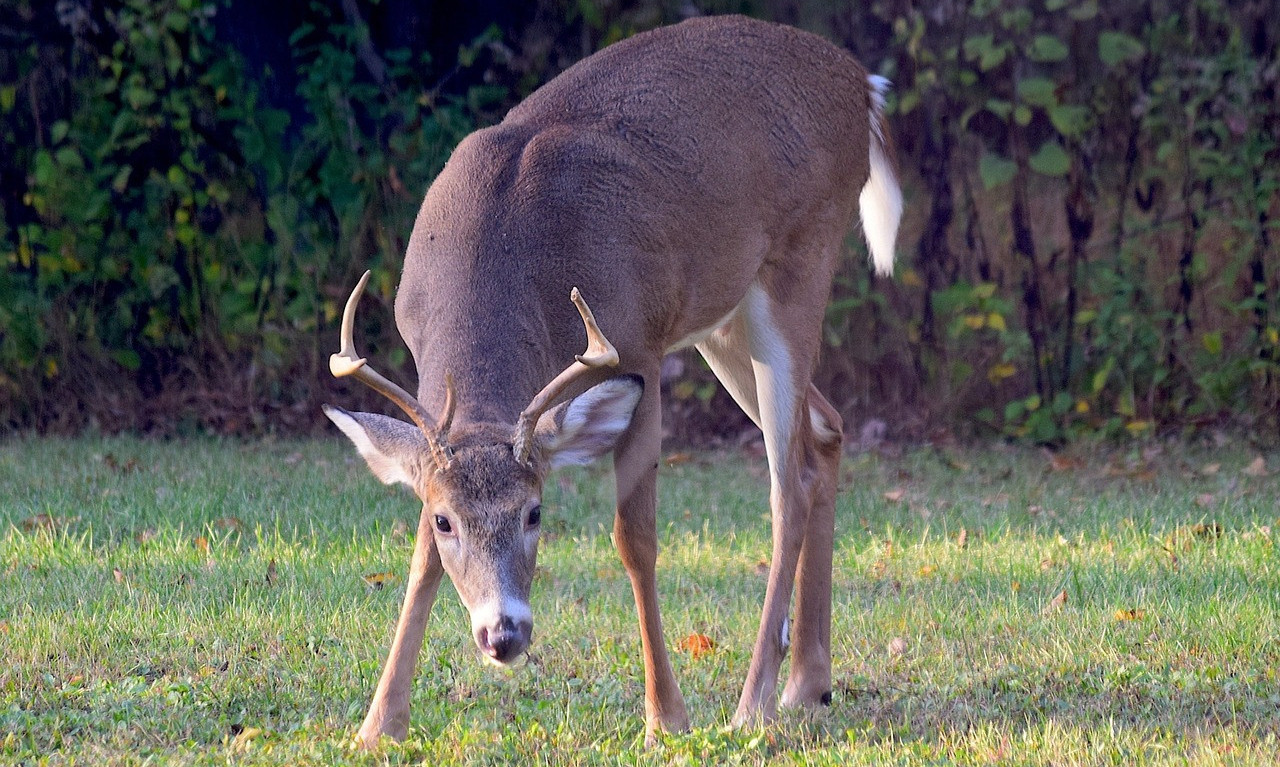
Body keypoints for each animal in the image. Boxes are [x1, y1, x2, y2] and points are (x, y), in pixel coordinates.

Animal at [320, 13, 901, 747]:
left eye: (535, 512)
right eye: (447, 519)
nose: (503, 636)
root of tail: (862, 85)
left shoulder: (640, 346)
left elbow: (635, 537)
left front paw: (666, 716)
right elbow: (419, 554)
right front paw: (379, 723)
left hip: (801, 261)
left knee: (786, 484)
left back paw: (754, 703)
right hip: (721, 319)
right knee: (825, 430)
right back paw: (808, 684)